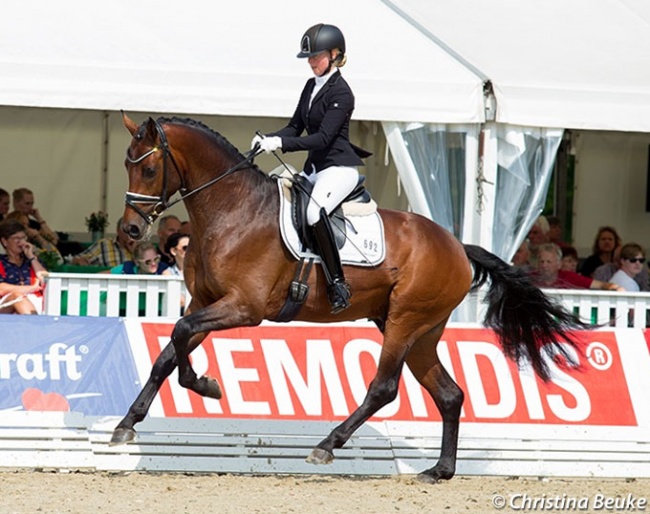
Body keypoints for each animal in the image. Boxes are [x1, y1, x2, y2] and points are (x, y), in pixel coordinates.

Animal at [111, 113, 588, 480]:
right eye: (126, 166)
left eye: (149, 170)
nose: (130, 230)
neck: (232, 209)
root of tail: (457, 246)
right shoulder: (205, 302)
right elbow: (169, 350)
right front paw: (128, 423)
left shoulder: (243, 308)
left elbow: (179, 333)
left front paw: (204, 385)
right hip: (421, 331)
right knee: (449, 394)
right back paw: (440, 470)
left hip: (404, 323)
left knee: (384, 388)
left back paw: (327, 445)